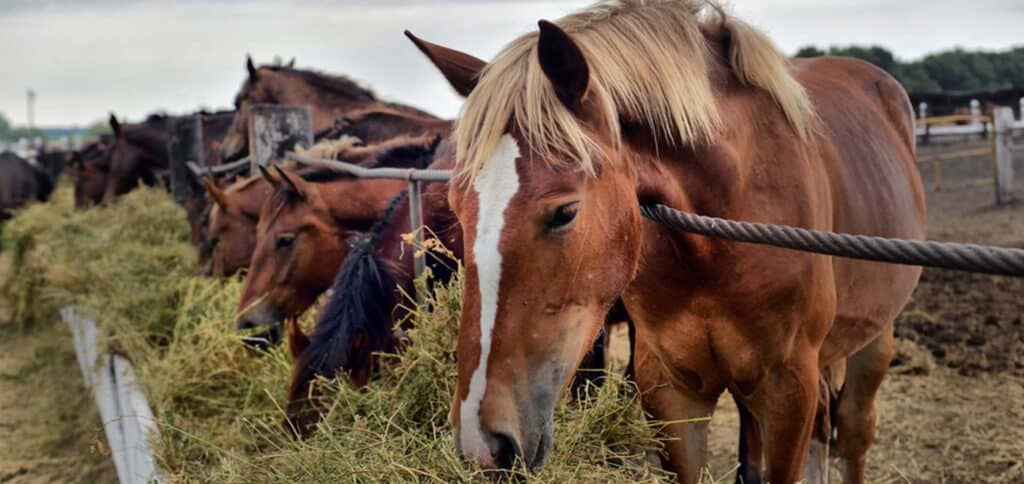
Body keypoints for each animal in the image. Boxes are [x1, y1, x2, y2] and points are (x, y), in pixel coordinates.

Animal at [409, 1, 929, 480]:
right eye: (456, 205)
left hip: (874, 337)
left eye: (565, 212)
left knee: (853, 432)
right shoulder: (672, 390)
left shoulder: (787, 390)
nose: (483, 442)